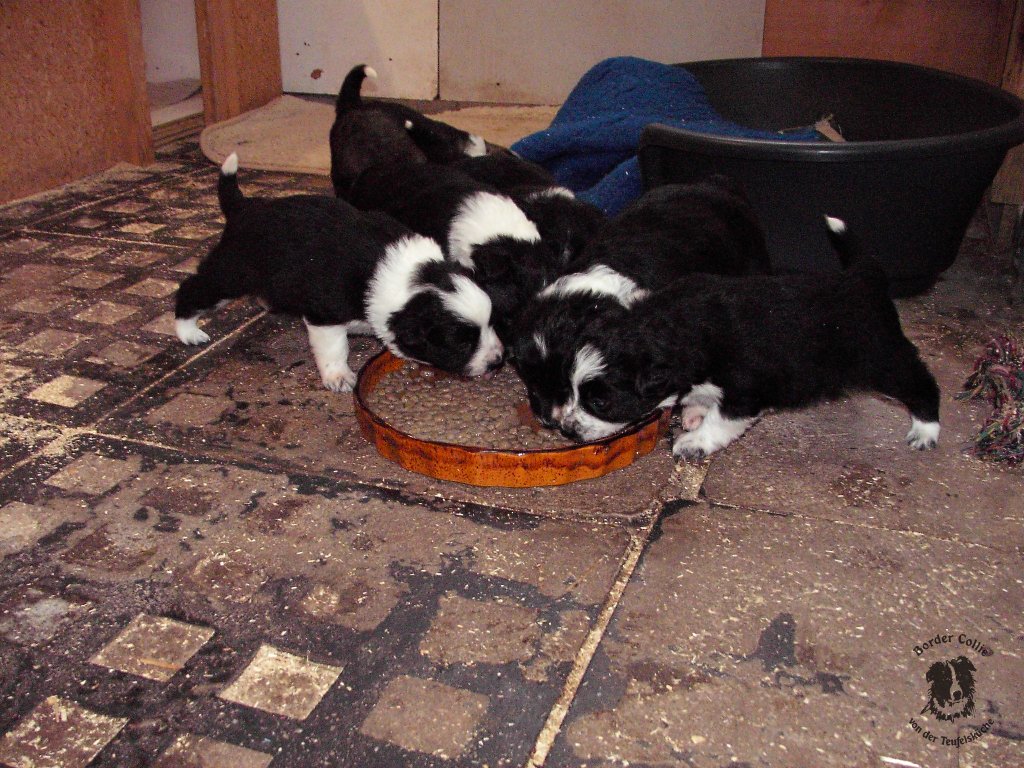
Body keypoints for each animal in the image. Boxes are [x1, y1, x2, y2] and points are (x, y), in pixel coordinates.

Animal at [175, 154, 503, 391]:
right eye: (462, 342)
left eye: (491, 324)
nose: (498, 361)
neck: (412, 275)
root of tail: (243, 207)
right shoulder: (325, 316)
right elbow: (335, 348)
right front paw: (339, 377)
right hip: (231, 272)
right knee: (192, 288)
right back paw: (188, 331)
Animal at [511, 216, 940, 459]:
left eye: (600, 400)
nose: (567, 430)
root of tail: (864, 274)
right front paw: (693, 412)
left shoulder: (745, 390)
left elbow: (721, 421)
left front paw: (693, 443)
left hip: (882, 359)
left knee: (922, 383)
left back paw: (925, 432)